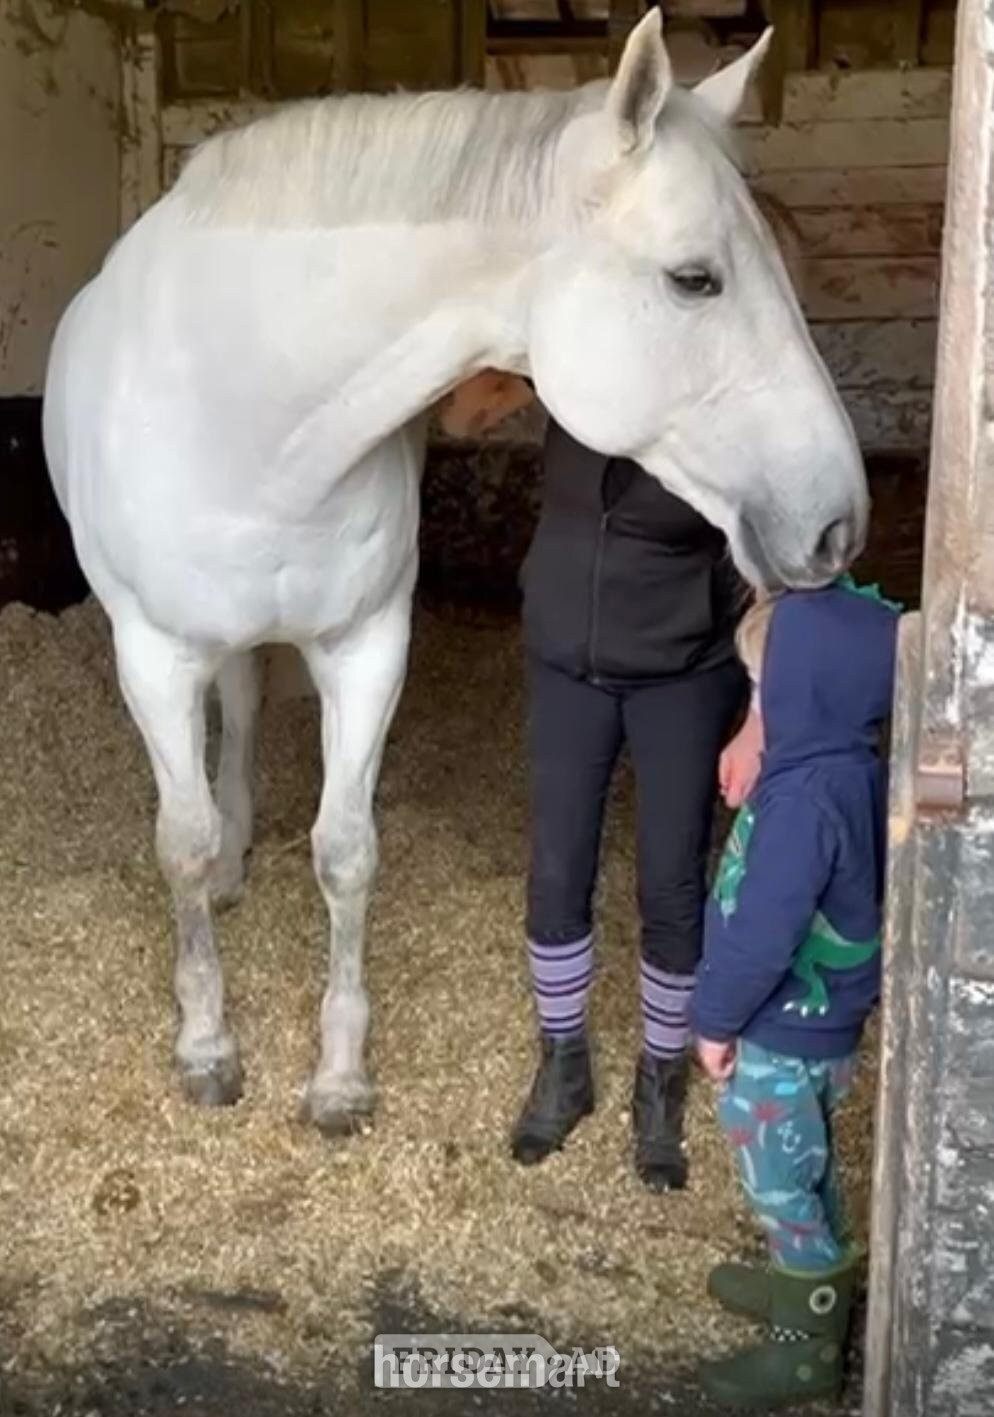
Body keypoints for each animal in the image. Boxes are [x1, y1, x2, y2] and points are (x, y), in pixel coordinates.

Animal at [42, 12, 867, 1135]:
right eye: (694, 278)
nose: (839, 522)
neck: (249, 412)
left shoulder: (366, 646)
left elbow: (346, 850)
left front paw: (339, 1075)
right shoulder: (154, 655)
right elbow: (184, 842)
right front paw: (207, 1046)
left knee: (248, 705)